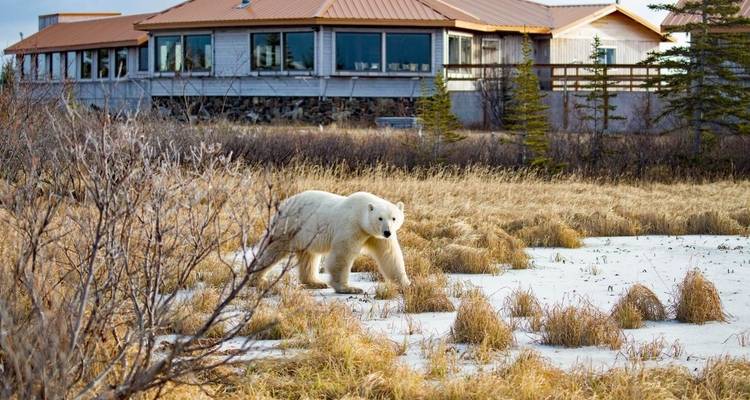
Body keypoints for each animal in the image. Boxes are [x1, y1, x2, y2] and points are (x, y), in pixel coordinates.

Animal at [252, 190, 411, 294]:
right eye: (380, 218)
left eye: (394, 218)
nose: (387, 232)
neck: (360, 214)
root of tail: (284, 204)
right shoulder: (351, 226)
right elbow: (342, 254)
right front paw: (349, 288)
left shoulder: (376, 236)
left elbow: (390, 256)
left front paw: (406, 284)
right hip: (288, 226)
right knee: (272, 250)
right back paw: (258, 278)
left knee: (309, 257)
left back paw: (315, 282)